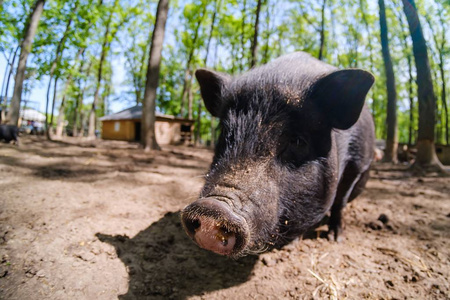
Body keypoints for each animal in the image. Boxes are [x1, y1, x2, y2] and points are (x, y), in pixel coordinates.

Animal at [181, 52, 374, 258]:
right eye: (225, 133)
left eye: (297, 141)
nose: (212, 207)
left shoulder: (357, 165)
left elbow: (340, 201)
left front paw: (335, 239)